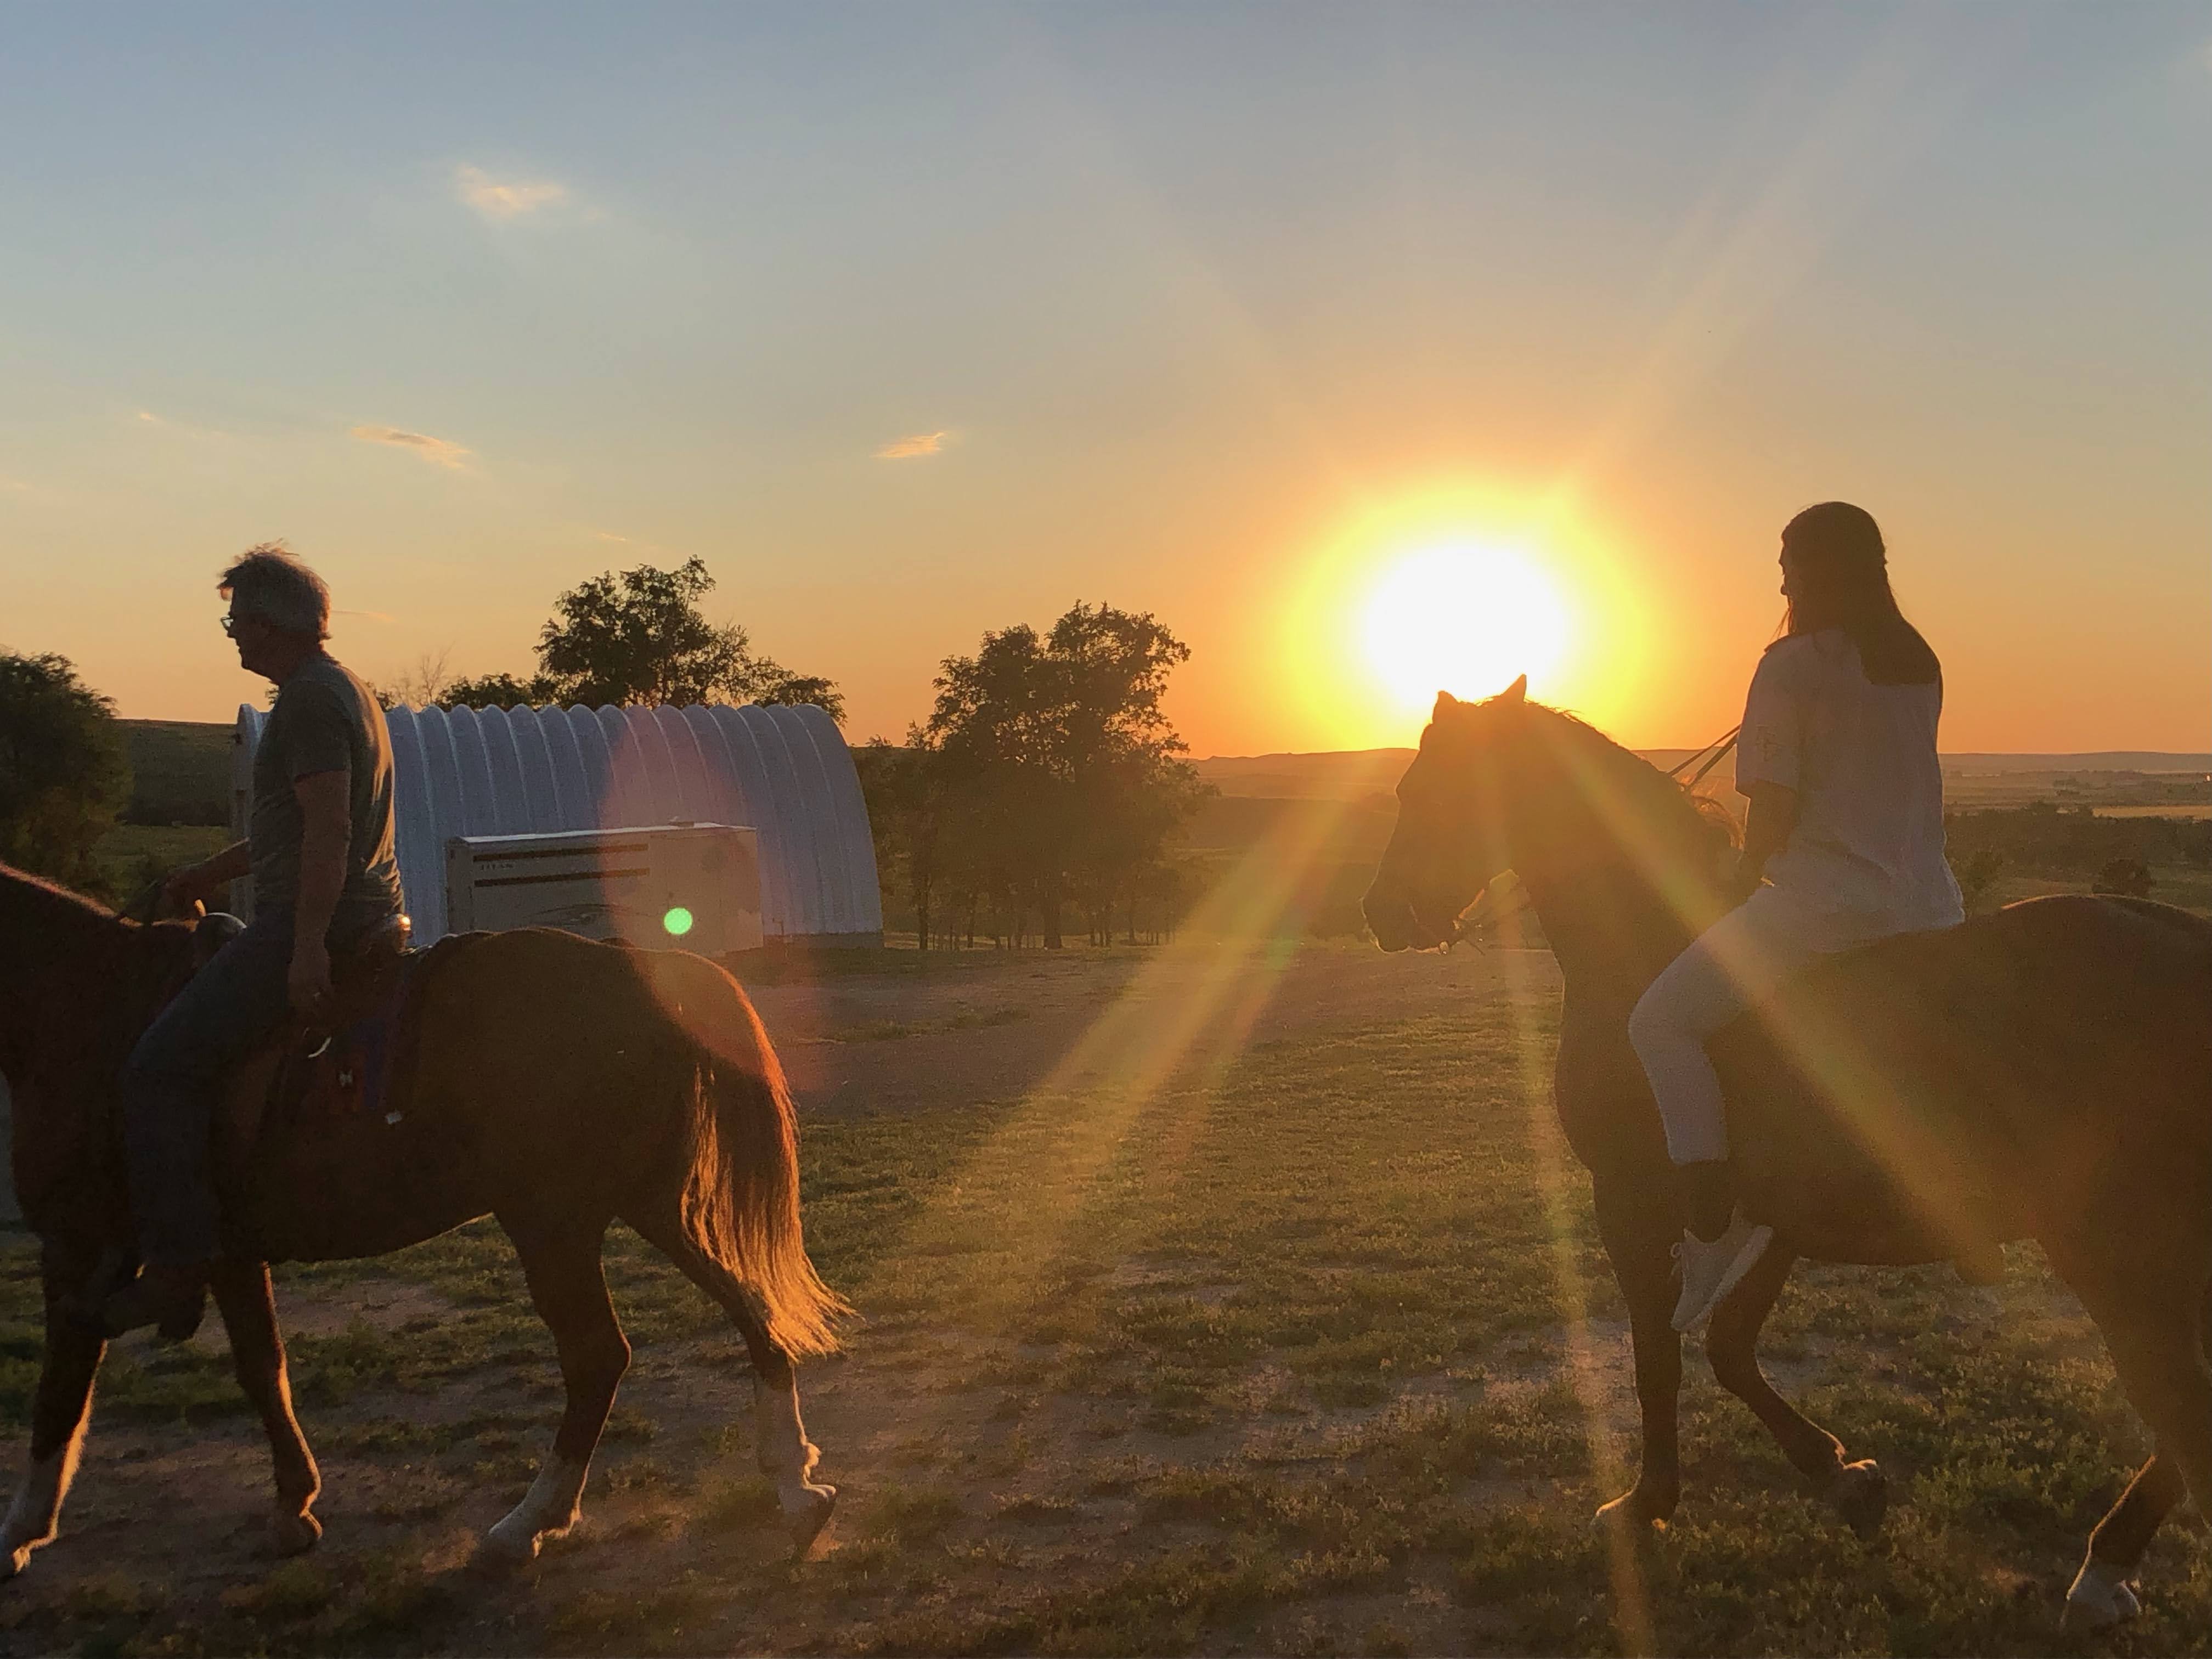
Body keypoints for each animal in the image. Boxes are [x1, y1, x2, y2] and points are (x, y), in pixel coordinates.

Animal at [0, 871, 845, 1583]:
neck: (83, 1001)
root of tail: (630, 966)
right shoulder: (226, 1255)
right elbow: (262, 1368)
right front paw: (292, 1505)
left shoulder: (76, 1248)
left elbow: (61, 1389)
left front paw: (20, 1533)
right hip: (648, 1204)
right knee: (749, 1309)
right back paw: (795, 1485)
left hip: (552, 1220)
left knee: (598, 1357)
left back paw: (529, 1523)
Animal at [1362, 681, 2212, 1628]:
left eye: (1426, 791)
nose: (1383, 913)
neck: (1649, 943)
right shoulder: (1771, 1216)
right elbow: (1730, 1350)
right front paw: (1844, 1479)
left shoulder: (1631, 1203)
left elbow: (1657, 1357)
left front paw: (1647, 1502)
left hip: (2119, 1256)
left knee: (2184, 1410)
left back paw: (2102, 1568)